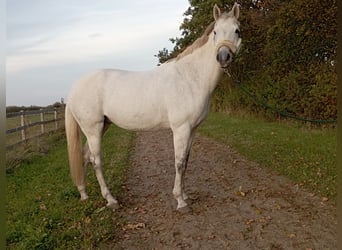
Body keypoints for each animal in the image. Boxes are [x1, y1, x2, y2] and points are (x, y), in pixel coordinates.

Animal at [64, 3, 240, 210]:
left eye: (237, 30)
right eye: (215, 32)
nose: (223, 57)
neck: (190, 77)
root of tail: (74, 88)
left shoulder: (192, 129)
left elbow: (186, 162)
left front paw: (185, 195)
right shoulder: (181, 129)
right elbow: (179, 162)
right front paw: (180, 201)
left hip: (102, 126)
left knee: (84, 156)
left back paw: (84, 194)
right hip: (93, 128)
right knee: (95, 161)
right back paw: (111, 200)